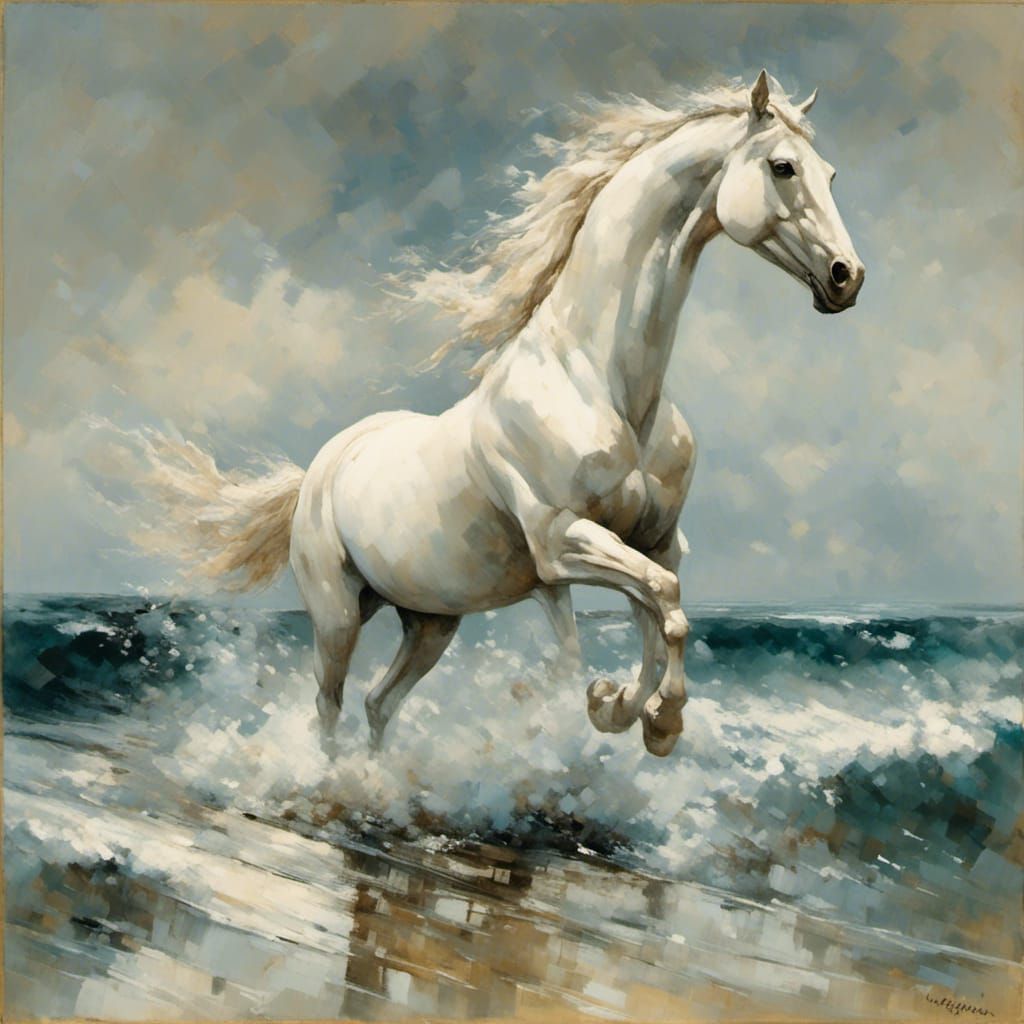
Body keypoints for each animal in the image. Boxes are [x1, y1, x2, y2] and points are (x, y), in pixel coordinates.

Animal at [142, 72, 863, 757]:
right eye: (782, 167)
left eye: (830, 173)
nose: (846, 277)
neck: (602, 382)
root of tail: (318, 469)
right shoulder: (561, 543)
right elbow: (665, 604)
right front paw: (648, 718)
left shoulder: (656, 542)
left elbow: (660, 618)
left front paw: (624, 710)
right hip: (338, 614)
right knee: (328, 707)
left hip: (431, 620)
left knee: (380, 704)